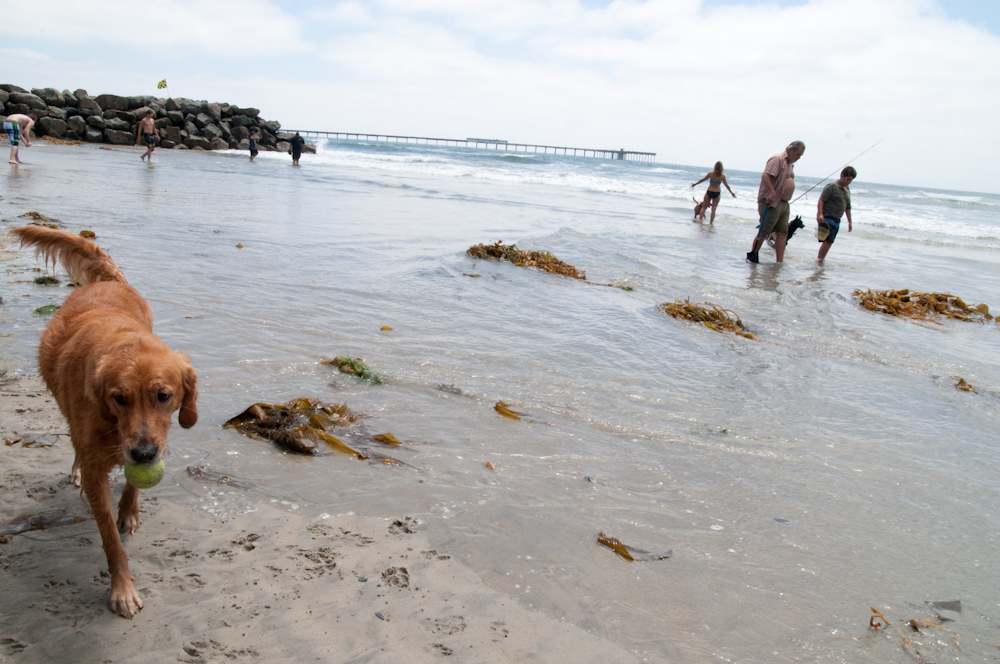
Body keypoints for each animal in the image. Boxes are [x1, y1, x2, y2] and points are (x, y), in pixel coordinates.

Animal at [12, 227, 197, 616]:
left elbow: (132, 485)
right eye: (119, 398)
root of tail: (109, 282)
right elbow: (111, 540)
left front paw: (129, 511)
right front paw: (122, 589)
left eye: (163, 396)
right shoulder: (98, 467)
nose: (143, 454)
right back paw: (75, 469)